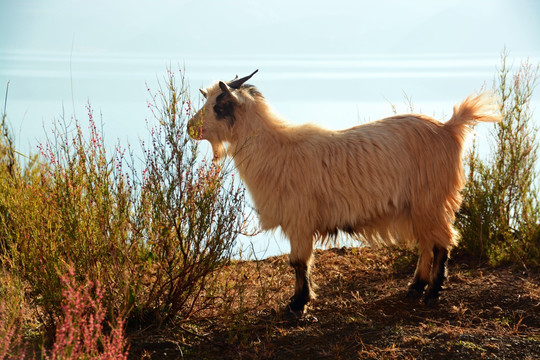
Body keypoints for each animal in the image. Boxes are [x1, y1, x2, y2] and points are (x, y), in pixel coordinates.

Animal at [187, 69, 502, 312]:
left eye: (220, 105)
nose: (190, 127)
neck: (276, 149)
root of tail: (449, 128)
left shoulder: (299, 219)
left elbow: (298, 262)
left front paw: (297, 305)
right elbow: (299, 263)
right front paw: (298, 301)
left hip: (432, 200)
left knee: (441, 243)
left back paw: (432, 292)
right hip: (419, 206)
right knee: (427, 243)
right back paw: (416, 286)